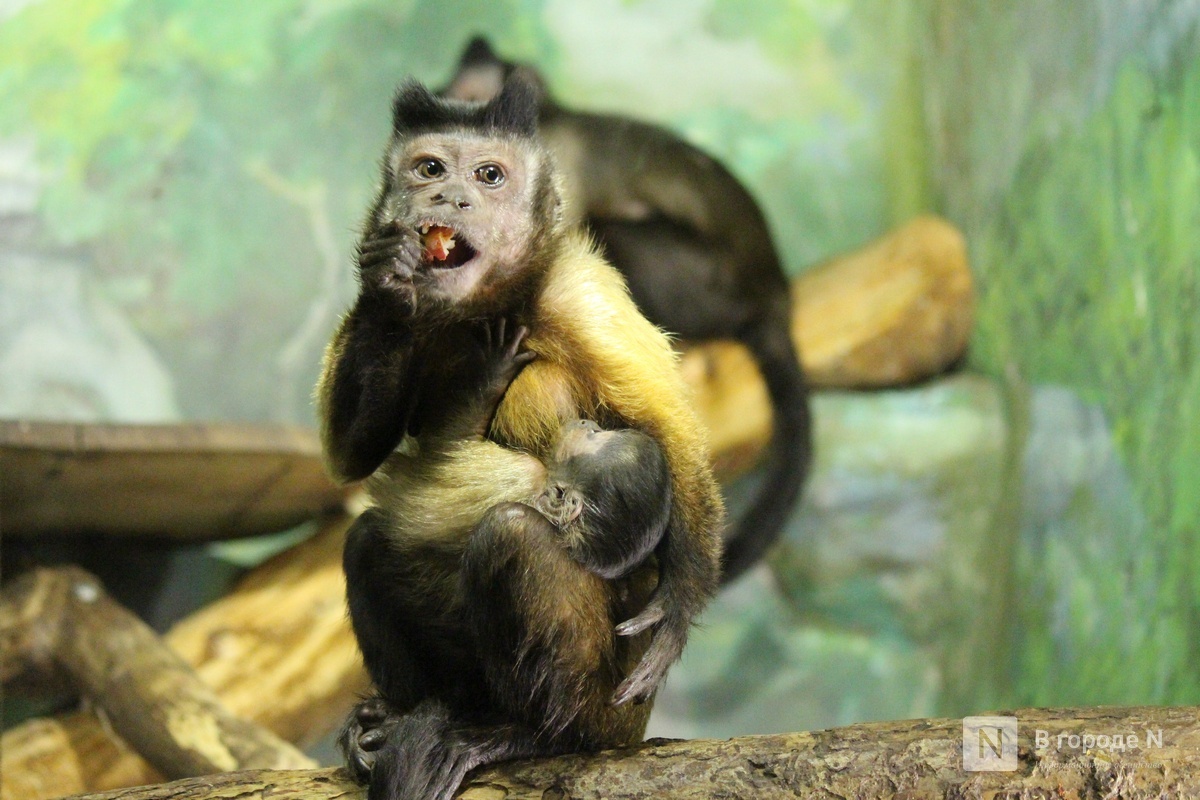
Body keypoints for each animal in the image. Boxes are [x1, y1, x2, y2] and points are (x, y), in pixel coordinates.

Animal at [316, 74, 720, 800]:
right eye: (429, 168)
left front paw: (676, 606)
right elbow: (354, 455)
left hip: (605, 709)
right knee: (370, 539)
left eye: (489, 175)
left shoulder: (580, 293)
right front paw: (387, 286)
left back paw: (530, 735)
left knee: (513, 535)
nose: (451, 197)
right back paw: (396, 715)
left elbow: (673, 433)